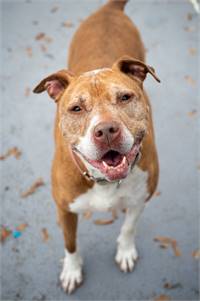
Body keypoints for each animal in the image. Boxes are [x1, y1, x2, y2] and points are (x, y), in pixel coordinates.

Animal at [33, 0, 160, 294]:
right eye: (76, 108)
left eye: (125, 97)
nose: (106, 131)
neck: (103, 181)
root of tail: (110, 9)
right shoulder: (65, 210)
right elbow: (70, 244)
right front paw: (72, 271)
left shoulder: (141, 198)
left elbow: (128, 228)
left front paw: (125, 252)